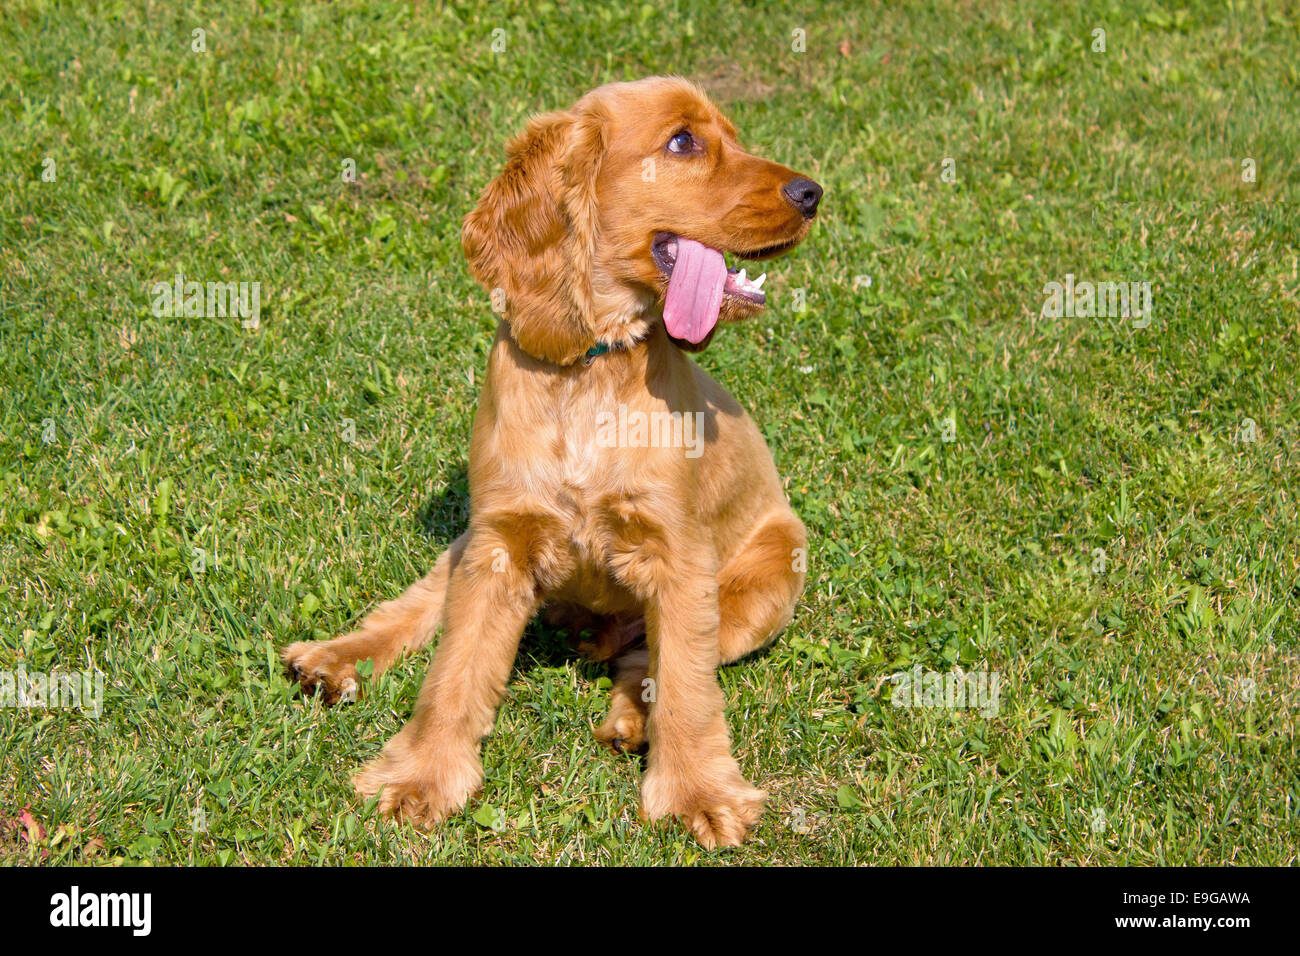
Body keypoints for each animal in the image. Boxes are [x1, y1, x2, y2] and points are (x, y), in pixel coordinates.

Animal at [284, 76, 821, 853]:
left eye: (733, 136)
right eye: (683, 142)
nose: (813, 193)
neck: (589, 368)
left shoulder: (679, 555)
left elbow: (687, 686)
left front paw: (697, 792)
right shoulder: (499, 541)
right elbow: (454, 668)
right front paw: (420, 776)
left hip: (768, 579)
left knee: (653, 660)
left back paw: (630, 719)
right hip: (468, 539)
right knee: (422, 603)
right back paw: (334, 658)